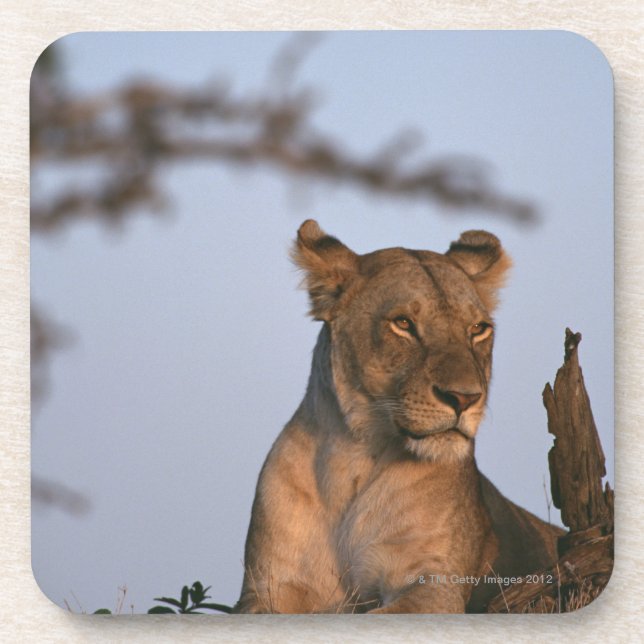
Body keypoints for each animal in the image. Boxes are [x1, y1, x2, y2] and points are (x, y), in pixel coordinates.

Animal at [234, 220, 563, 614]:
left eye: (478, 329)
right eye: (403, 323)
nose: (465, 398)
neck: (351, 461)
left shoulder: (435, 585)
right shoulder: (264, 590)